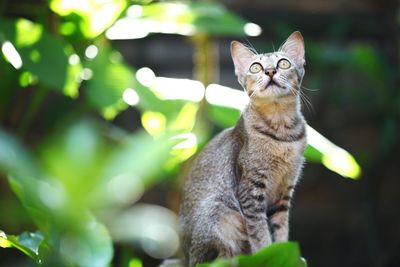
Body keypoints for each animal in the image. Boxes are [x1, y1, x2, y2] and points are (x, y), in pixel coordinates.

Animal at [180, 30, 308, 266]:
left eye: (283, 63)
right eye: (255, 67)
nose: (270, 71)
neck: (282, 135)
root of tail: (183, 256)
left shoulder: (284, 191)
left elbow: (281, 231)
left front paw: (284, 254)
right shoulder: (251, 189)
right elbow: (259, 233)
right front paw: (266, 255)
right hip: (217, 212)